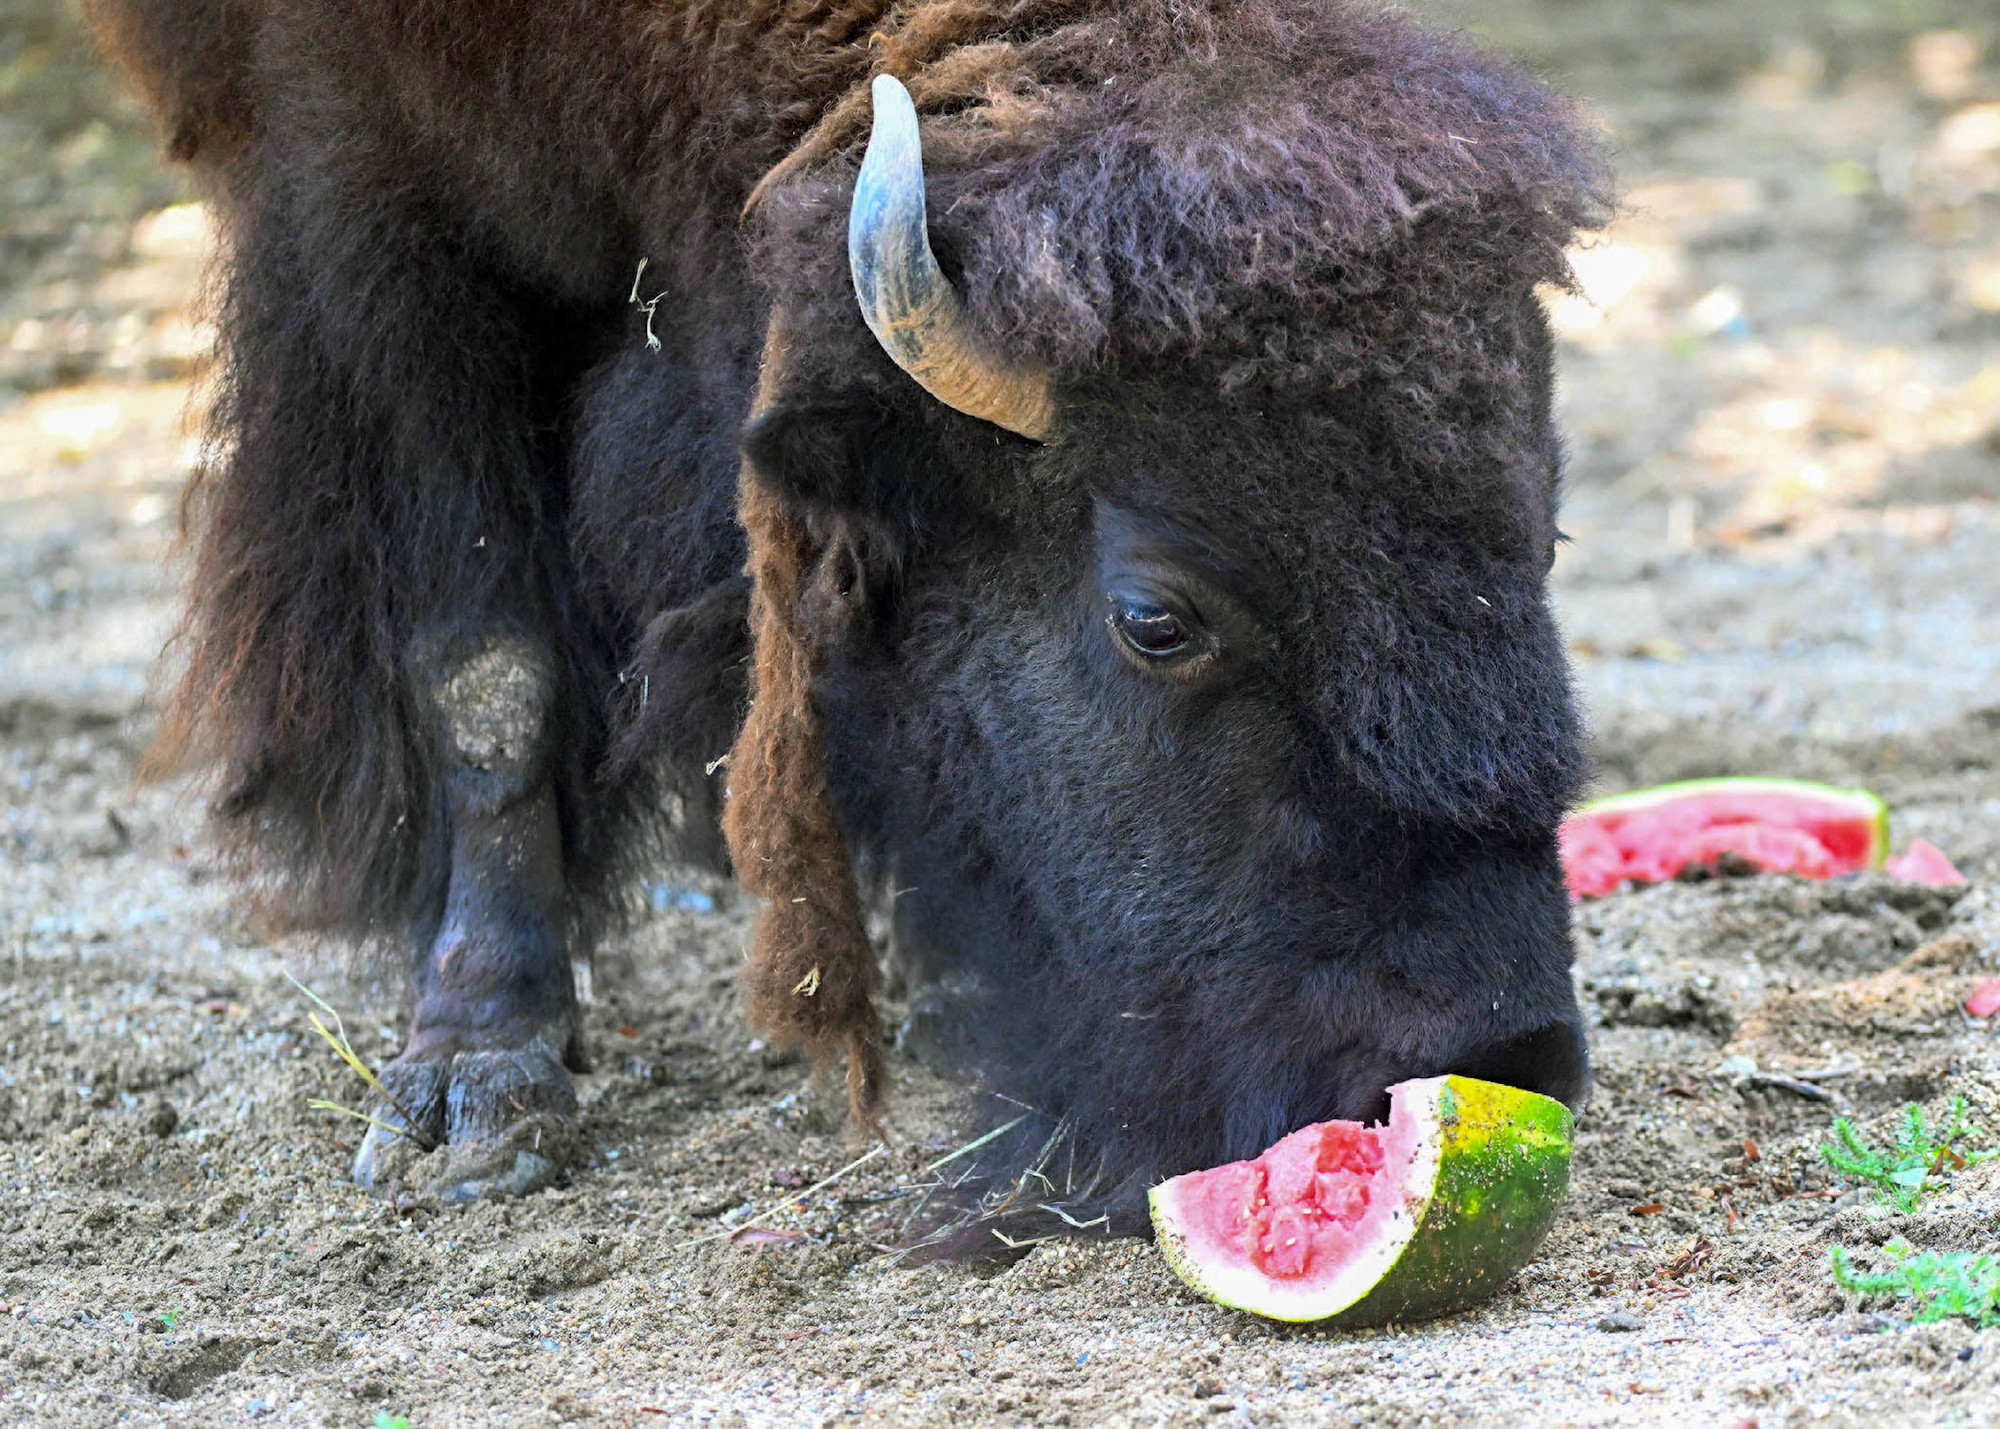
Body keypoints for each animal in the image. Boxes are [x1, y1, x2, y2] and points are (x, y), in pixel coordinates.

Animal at [90, 0, 1609, 1231]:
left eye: (1543, 529)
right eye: (1156, 619)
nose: (1501, 1051)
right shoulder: (367, 197)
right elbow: (486, 661)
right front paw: (476, 1085)